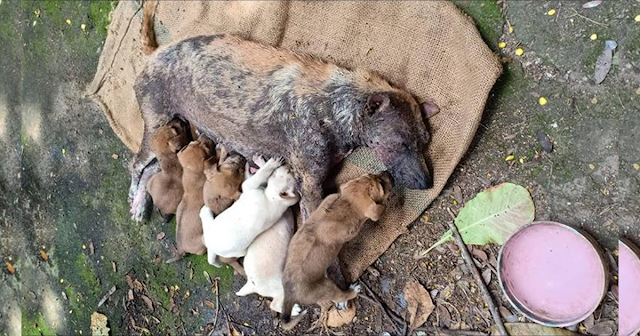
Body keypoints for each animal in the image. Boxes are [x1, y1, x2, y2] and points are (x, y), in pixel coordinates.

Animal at [132, 6, 438, 220]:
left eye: (424, 142)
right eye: (401, 143)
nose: (428, 184)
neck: (337, 103)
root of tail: (154, 53)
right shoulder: (311, 185)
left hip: (173, 137)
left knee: (154, 170)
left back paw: (140, 204)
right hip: (156, 123)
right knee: (136, 165)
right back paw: (135, 199)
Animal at [282, 172, 392, 330]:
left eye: (374, 175)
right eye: (381, 185)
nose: (388, 173)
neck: (347, 203)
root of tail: (290, 292)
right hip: (327, 288)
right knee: (341, 295)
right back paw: (353, 290)